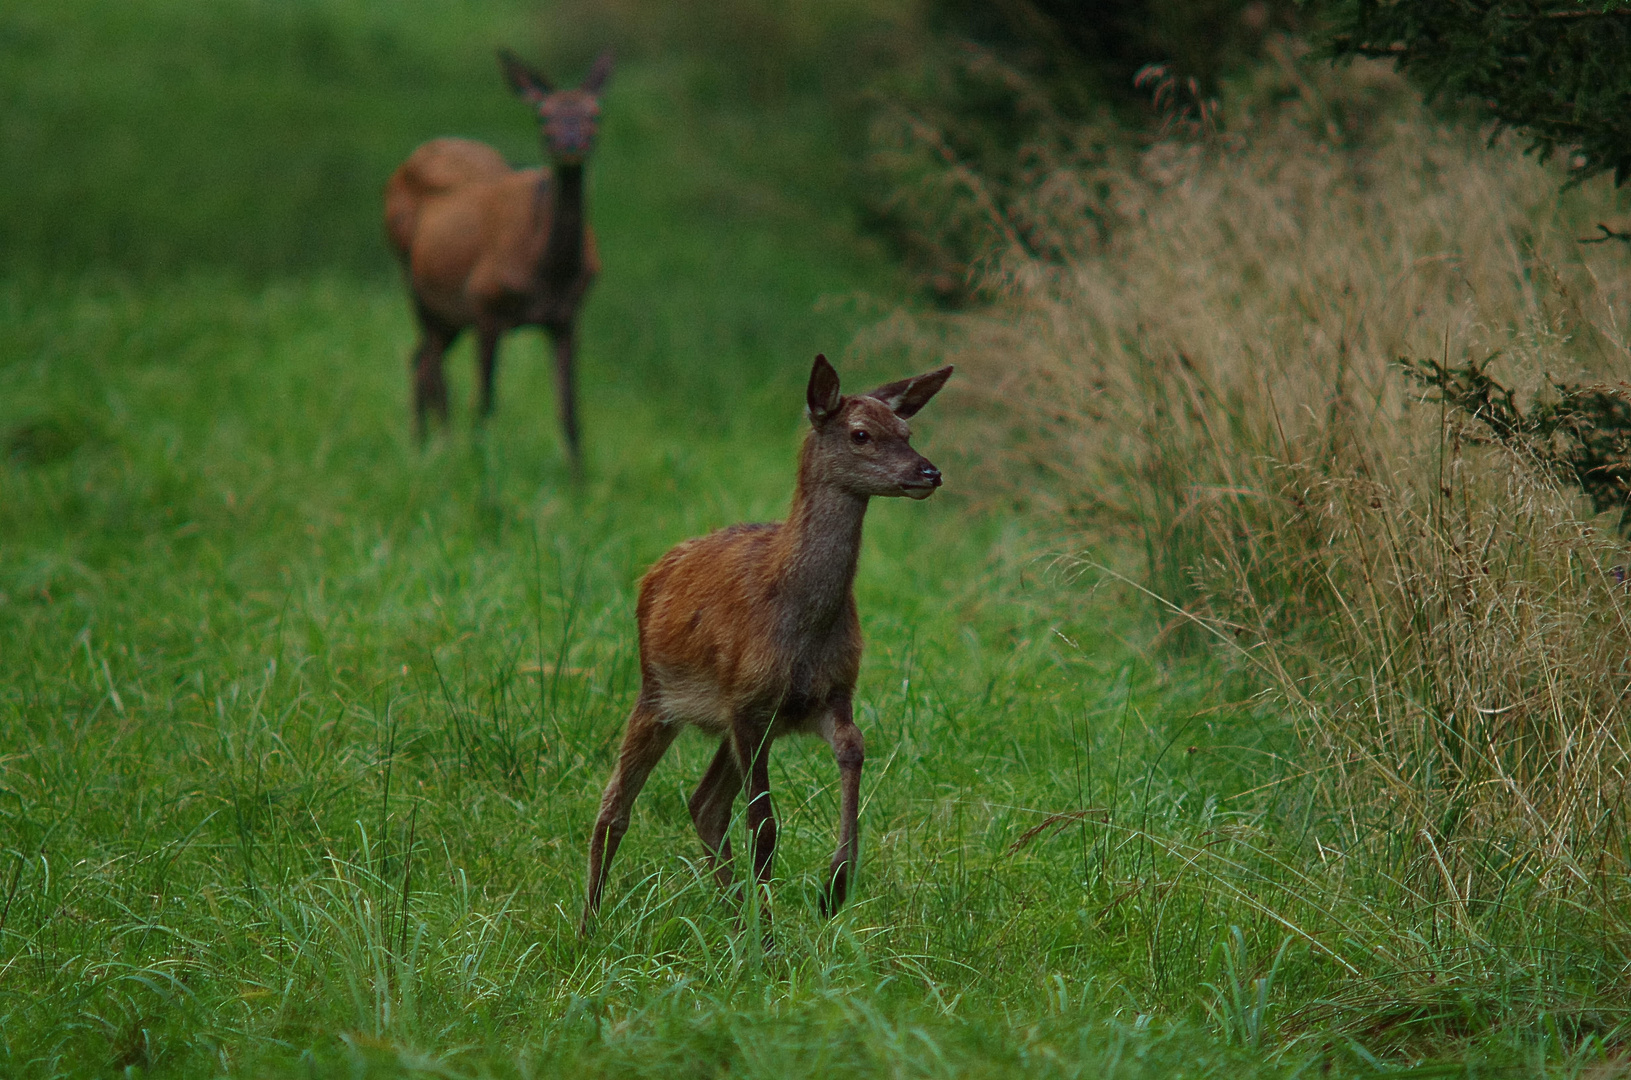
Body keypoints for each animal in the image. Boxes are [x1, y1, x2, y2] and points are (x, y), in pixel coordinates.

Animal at [383, 48, 613, 466]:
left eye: (595, 113)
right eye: (543, 115)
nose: (570, 145)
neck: (547, 272)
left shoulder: (567, 316)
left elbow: (570, 413)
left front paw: (579, 481)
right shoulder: (485, 303)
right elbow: (485, 402)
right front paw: (482, 466)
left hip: (449, 314)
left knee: (419, 359)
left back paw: (423, 444)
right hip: (419, 286)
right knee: (433, 370)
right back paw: (435, 448)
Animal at [580, 354, 952, 939]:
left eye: (907, 431)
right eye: (861, 434)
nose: (929, 473)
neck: (799, 624)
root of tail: (655, 571)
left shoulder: (826, 696)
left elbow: (853, 750)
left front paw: (834, 885)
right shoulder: (747, 703)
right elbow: (764, 824)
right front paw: (777, 927)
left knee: (704, 803)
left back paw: (740, 921)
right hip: (657, 691)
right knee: (615, 802)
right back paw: (590, 926)